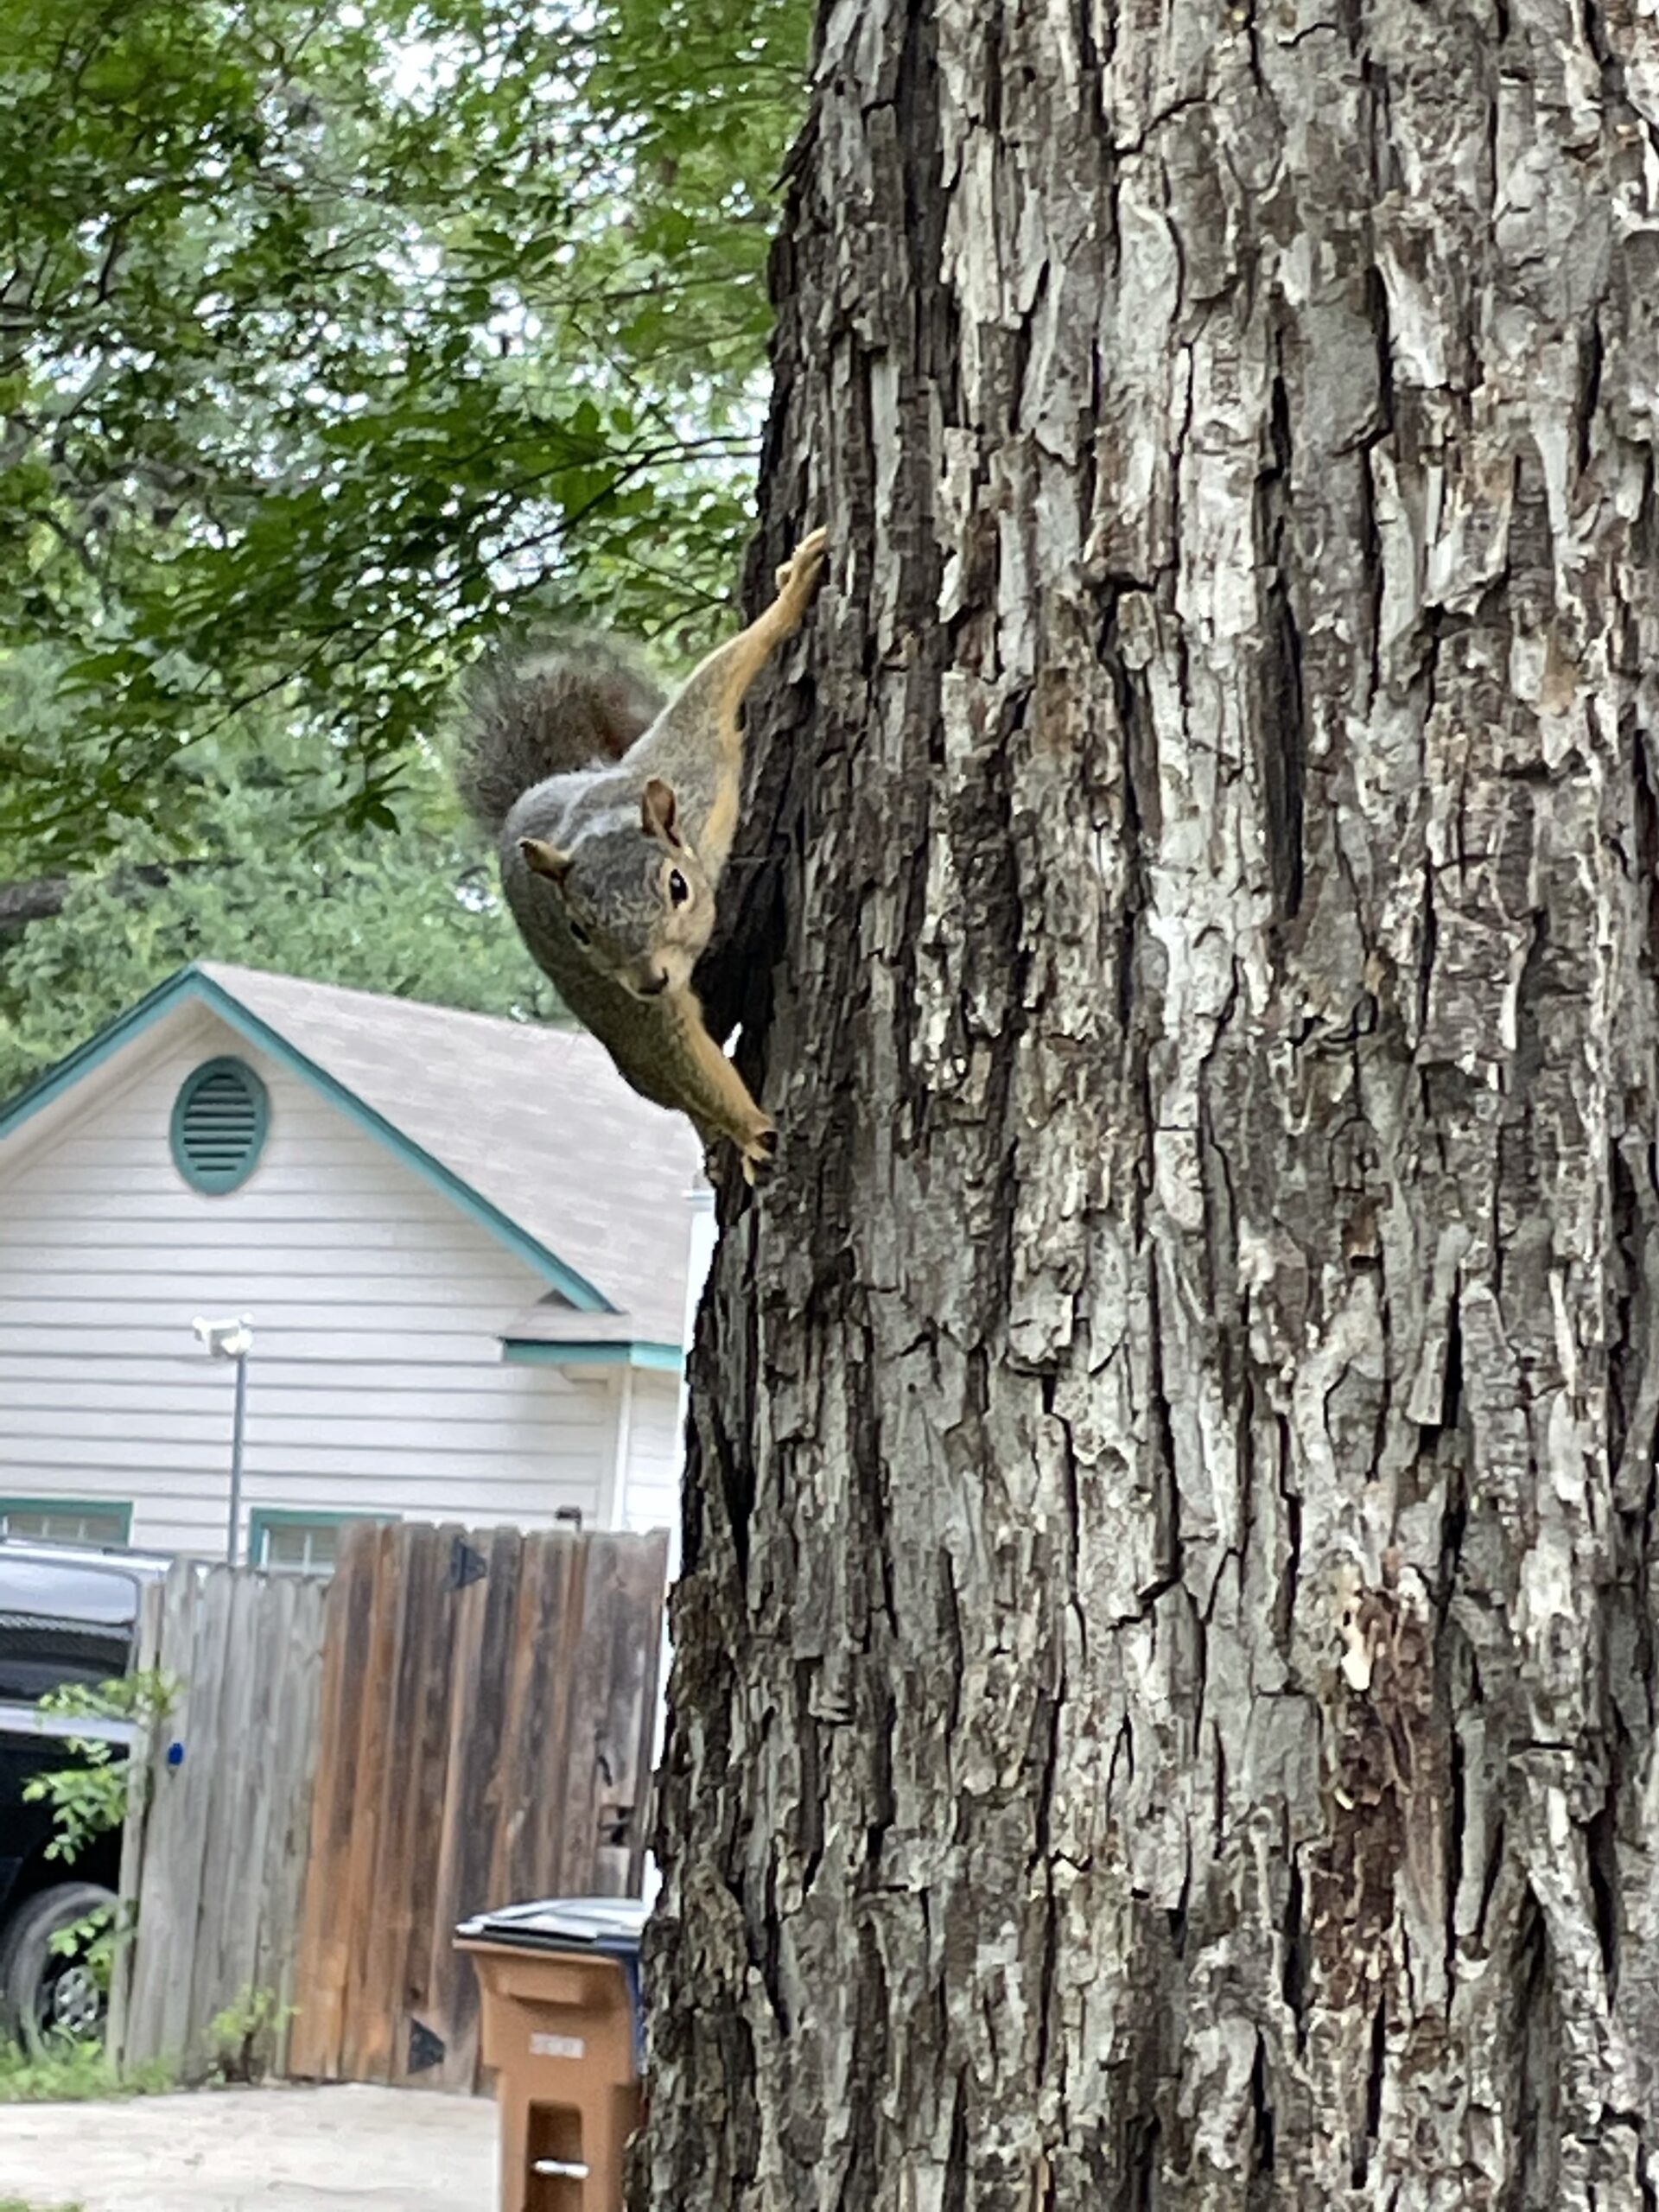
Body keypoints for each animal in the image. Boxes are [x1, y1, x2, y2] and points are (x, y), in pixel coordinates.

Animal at [457, 527, 829, 1182]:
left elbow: (715, 683)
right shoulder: (632, 1005)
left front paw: (792, 588)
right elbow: (682, 1059)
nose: (652, 979)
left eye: (678, 887)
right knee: (659, 1082)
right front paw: (747, 1131)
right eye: (578, 930)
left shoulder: (694, 767)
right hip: (603, 1014)